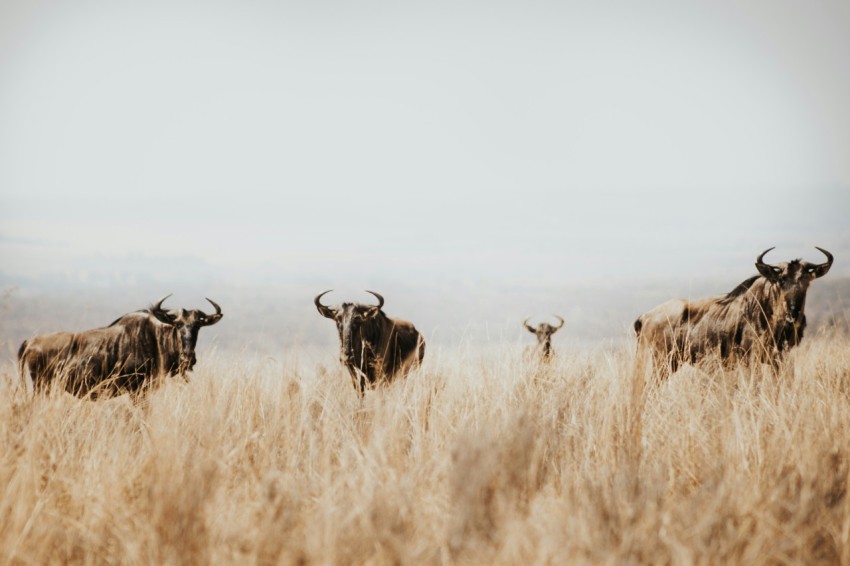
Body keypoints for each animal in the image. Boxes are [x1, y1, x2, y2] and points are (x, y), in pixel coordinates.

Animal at [18, 295, 223, 398]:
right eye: (178, 324)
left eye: (198, 325)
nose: (188, 358)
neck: (154, 339)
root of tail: (31, 342)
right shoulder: (138, 391)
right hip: (42, 388)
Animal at [634, 247, 833, 379]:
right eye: (782, 280)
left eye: (806, 281)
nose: (794, 313)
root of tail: (646, 316)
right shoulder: (752, 360)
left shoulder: (779, 359)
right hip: (664, 362)